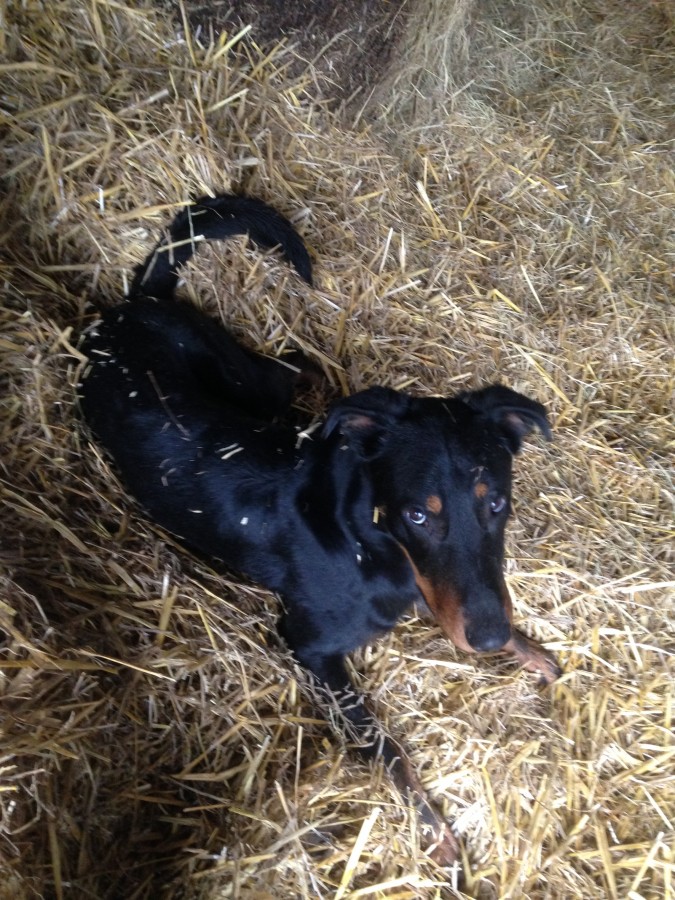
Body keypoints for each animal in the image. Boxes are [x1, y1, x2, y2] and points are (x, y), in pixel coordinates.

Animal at [78, 195, 560, 872]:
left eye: (498, 504)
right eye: (417, 516)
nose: (488, 641)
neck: (368, 537)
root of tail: (133, 304)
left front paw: (529, 649)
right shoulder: (310, 650)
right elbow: (384, 746)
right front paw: (434, 829)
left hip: (242, 374)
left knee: (293, 363)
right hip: (246, 378)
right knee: (292, 365)